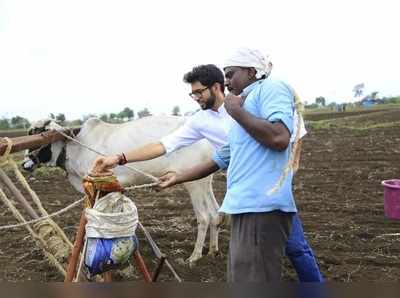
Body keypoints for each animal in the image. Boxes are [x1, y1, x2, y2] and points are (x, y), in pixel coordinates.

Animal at [24, 116, 222, 264]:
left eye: (34, 134)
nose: (24, 164)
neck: (76, 147)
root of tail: (207, 141)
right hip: (205, 183)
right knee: (215, 214)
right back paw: (213, 251)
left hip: (194, 184)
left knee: (204, 217)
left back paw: (195, 256)